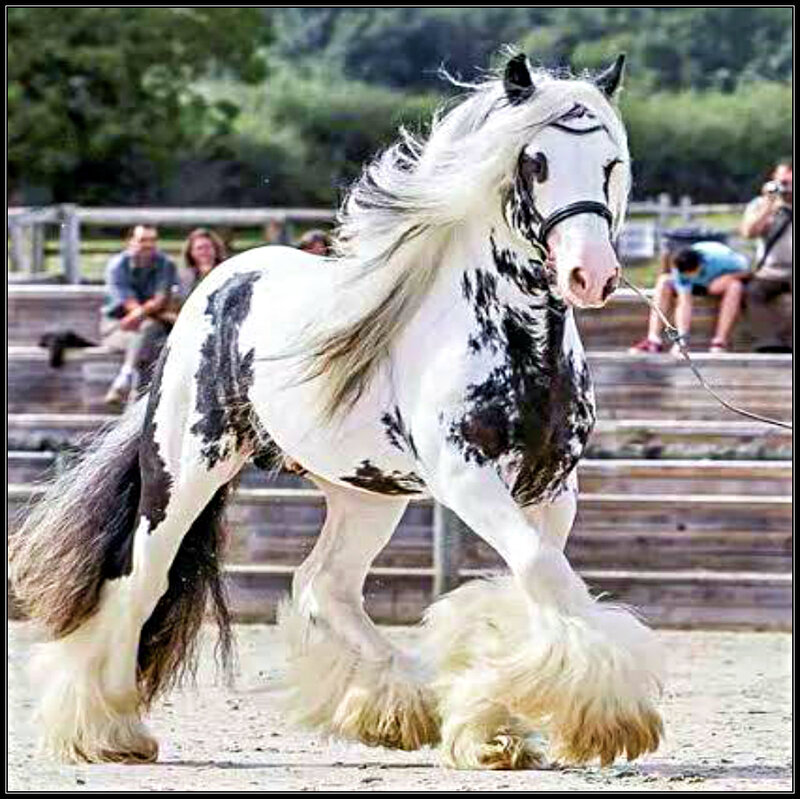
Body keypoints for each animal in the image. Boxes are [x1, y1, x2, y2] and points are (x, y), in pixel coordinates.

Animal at [9, 52, 664, 770]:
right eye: (535, 161)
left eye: (610, 162)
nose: (591, 275)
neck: (517, 340)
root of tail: (220, 282)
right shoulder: (468, 477)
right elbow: (541, 571)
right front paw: (597, 717)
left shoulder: (552, 488)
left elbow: (536, 578)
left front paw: (496, 725)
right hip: (184, 470)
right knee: (141, 580)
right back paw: (107, 729)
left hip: (365, 492)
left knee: (326, 584)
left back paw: (398, 707)